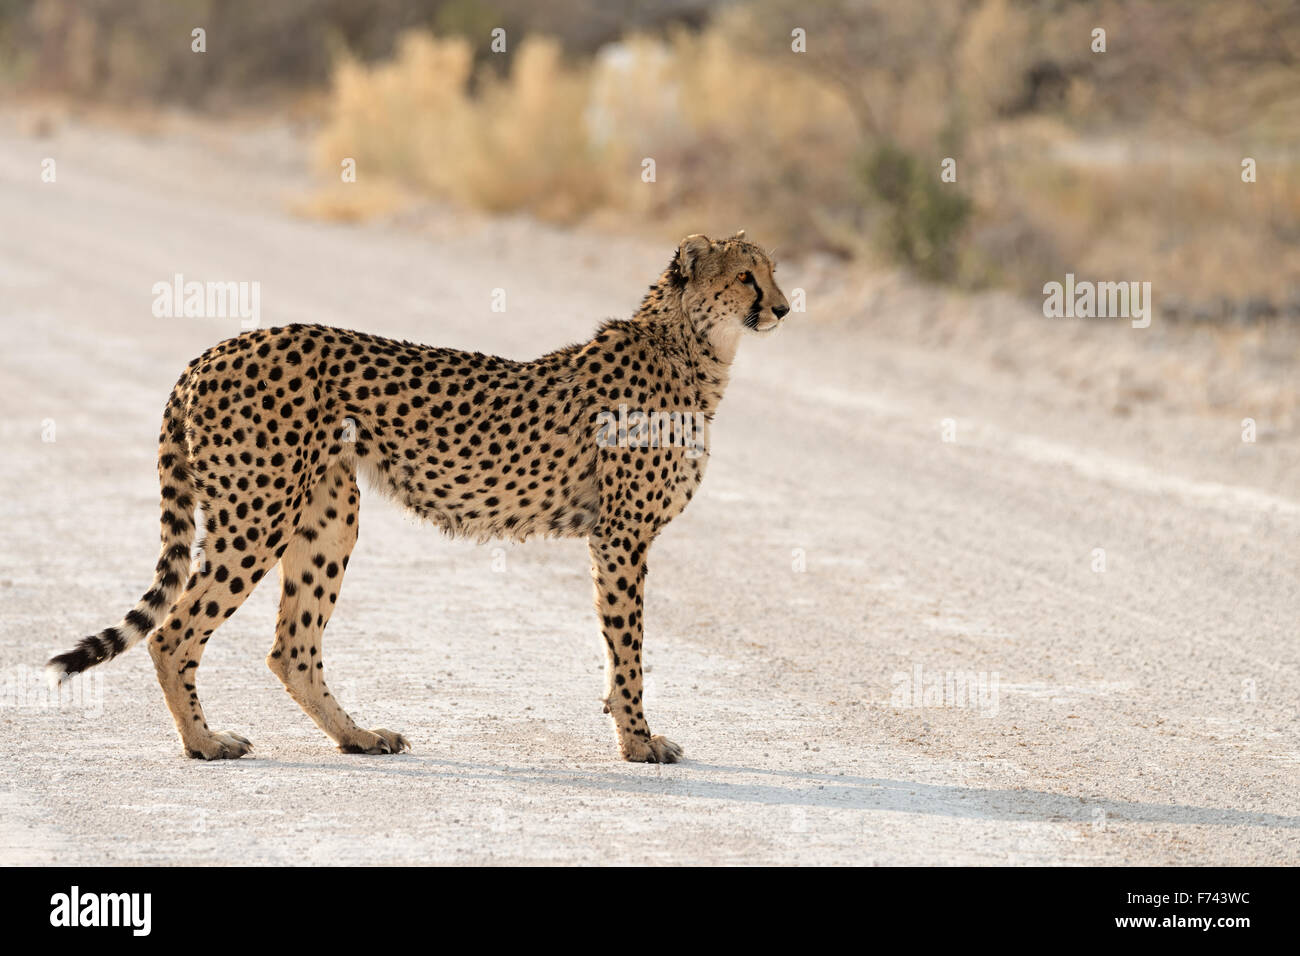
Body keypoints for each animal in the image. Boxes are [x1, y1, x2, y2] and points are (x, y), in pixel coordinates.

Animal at [45, 235, 785, 764]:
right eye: (747, 275)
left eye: (772, 271)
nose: (782, 306)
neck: (693, 349)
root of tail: (217, 348)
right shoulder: (621, 535)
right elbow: (627, 649)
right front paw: (638, 741)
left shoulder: (615, 535)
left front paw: (633, 735)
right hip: (257, 514)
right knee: (174, 632)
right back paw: (204, 742)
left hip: (328, 517)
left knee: (291, 645)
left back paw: (357, 736)